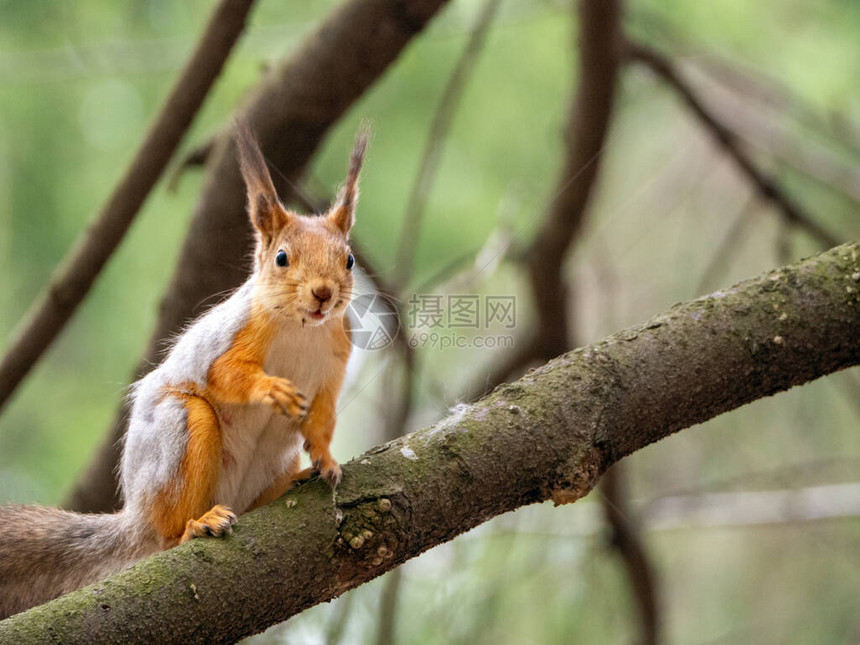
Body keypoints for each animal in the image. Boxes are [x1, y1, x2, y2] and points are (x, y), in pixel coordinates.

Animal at [0, 123, 366, 616]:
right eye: (282, 258)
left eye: (348, 259)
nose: (324, 293)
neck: (303, 329)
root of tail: (137, 519)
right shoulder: (231, 339)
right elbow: (227, 375)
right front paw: (271, 389)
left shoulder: (332, 367)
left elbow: (323, 416)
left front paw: (325, 458)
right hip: (181, 432)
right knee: (171, 529)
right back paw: (195, 526)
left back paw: (292, 480)